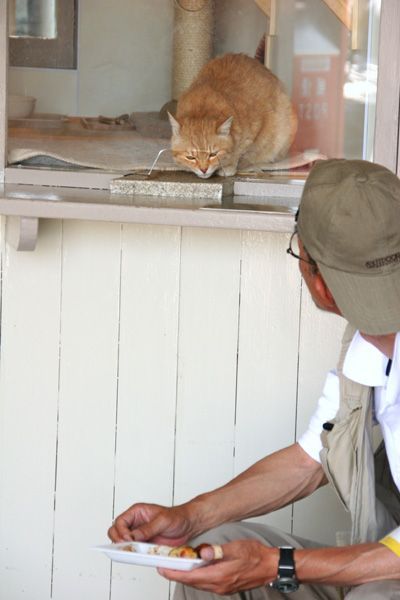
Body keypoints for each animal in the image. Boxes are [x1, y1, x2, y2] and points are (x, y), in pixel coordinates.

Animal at [168, 53, 296, 178]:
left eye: (213, 154)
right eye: (191, 157)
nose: (203, 170)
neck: (202, 109)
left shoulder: (253, 132)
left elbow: (238, 152)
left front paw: (228, 167)